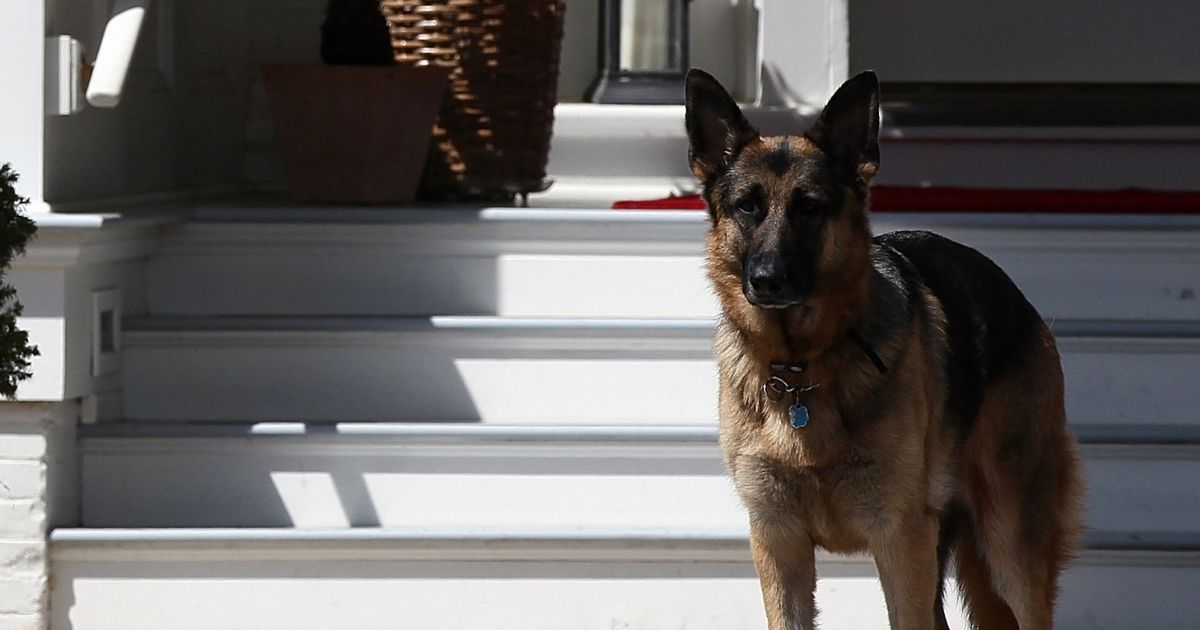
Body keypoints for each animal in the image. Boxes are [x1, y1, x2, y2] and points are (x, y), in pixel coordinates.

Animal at [686, 68, 1089, 628]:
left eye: (809, 208)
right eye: (747, 207)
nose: (767, 281)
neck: (802, 368)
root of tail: (1021, 301)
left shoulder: (899, 538)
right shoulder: (778, 539)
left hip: (1010, 546)